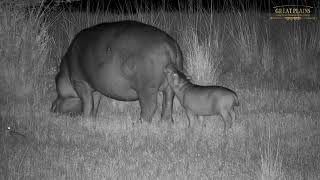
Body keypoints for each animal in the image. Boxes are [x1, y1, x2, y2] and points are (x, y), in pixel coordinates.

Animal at [51, 20, 184, 123]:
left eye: (55, 83)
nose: (51, 108)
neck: (65, 73)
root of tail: (169, 45)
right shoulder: (96, 87)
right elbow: (95, 103)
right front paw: (92, 119)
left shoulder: (80, 82)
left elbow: (87, 103)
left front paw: (85, 120)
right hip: (169, 86)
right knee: (168, 103)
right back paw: (165, 123)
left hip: (146, 88)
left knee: (150, 107)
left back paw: (139, 124)